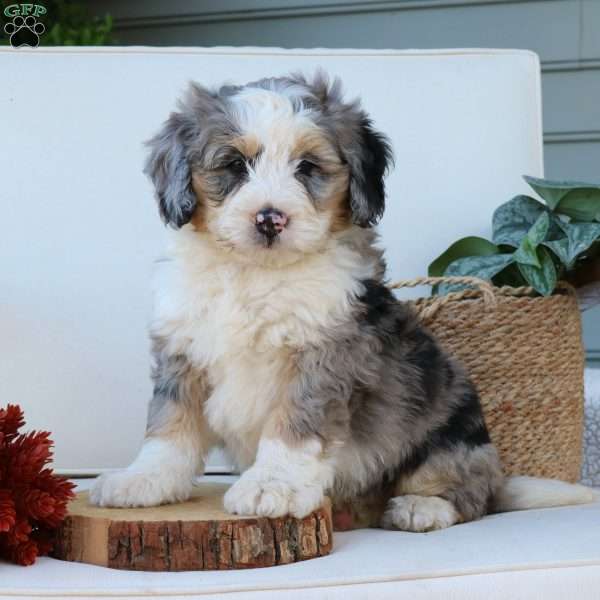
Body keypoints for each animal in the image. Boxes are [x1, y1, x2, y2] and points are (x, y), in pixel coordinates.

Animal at [91, 74, 592, 528]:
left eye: (308, 167)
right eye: (234, 165)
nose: (269, 219)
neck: (255, 274)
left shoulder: (324, 357)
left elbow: (293, 428)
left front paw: (272, 486)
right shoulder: (183, 351)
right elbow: (169, 427)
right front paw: (143, 481)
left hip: (452, 434)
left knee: (468, 495)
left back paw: (421, 507)